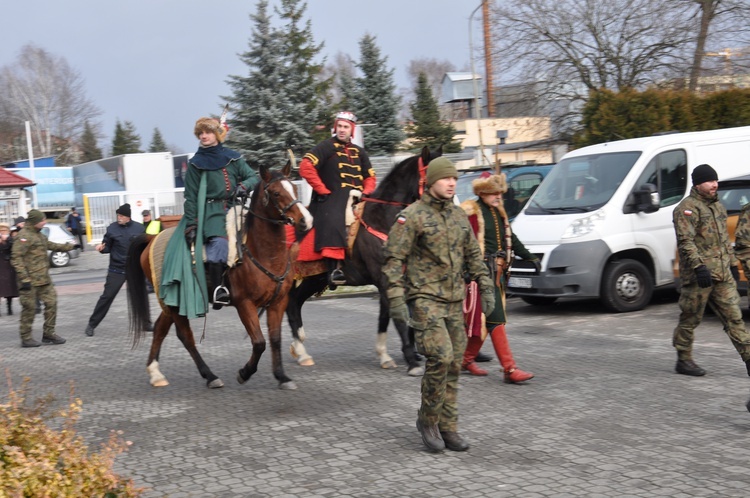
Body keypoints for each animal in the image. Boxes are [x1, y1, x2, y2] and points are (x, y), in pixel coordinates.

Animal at [125, 162, 312, 390]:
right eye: (276, 193)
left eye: (293, 188)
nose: (305, 220)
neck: (262, 253)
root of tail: (152, 238)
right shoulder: (244, 304)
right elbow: (259, 342)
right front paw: (244, 372)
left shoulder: (277, 302)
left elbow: (275, 339)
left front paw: (282, 376)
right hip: (176, 302)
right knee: (185, 336)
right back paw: (210, 375)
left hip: (172, 302)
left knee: (161, 328)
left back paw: (155, 373)